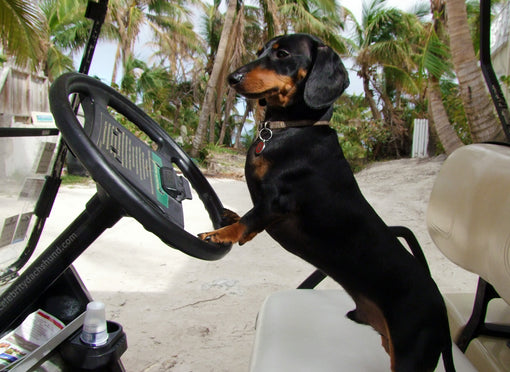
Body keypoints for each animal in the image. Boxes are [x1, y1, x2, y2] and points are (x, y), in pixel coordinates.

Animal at [198, 33, 454, 370]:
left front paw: (221, 233)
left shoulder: (277, 202)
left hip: (413, 354)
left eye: (282, 54)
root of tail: (443, 312)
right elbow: (245, 216)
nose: (231, 77)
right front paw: (227, 216)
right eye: (260, 51)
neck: (292, 130)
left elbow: (251, 218)